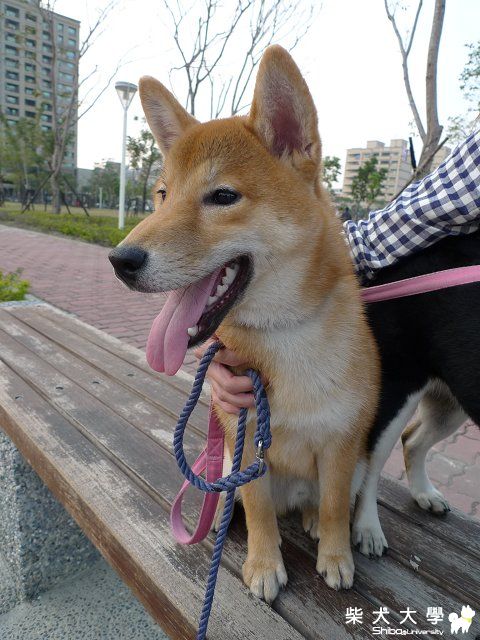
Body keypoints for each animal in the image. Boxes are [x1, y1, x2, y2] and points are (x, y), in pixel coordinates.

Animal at [109, 45, 380, 602]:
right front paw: (263, 565)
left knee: (321, 501)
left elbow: (336, 505)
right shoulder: (243, 433)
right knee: (234, 497)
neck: (283, 335)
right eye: (162, 195)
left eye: (222, 196)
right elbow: (256, 508)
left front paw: (336, 555)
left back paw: (313, 521)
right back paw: (216, 517)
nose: (120, 259)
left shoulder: (342, 444)